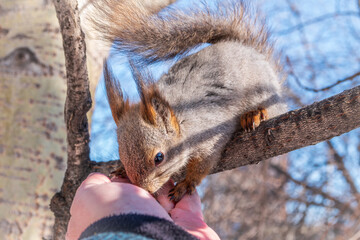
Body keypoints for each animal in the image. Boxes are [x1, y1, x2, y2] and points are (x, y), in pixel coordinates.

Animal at [90, 0, 286, 201]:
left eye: (159, 158)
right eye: (121, 155)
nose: (145, 189)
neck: (181, 118)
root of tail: (248, 50)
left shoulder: (211, 134)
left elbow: (203, 164)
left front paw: (186, 184)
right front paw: (121, 169)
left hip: (263, 93)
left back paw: (255, 114)